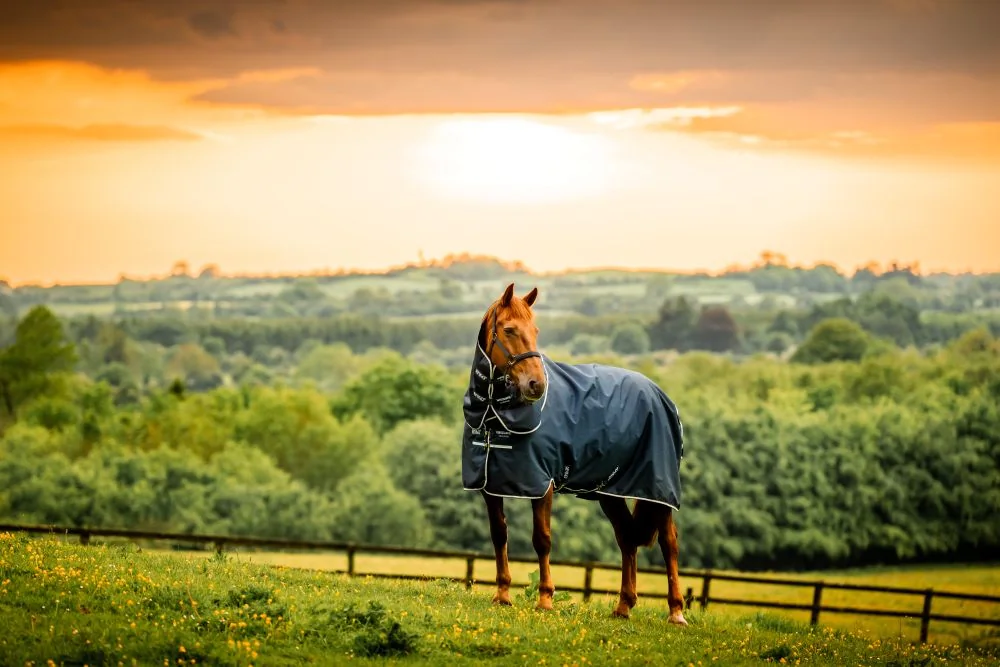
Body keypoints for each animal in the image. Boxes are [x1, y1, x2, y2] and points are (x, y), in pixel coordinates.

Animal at [461, 283, 688, 625]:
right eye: (510, 330)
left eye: (536, 331)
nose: (536, 385)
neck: (493, 414)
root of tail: (661, 395)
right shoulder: (491, 485)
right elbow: (499, 535)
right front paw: (502, 595)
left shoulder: (542, 485)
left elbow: (542, 539)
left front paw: (545, 599)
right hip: (610, 492)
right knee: (627, 538)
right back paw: (624, 606)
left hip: (657, 490)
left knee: (668, 543)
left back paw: (676, 612)